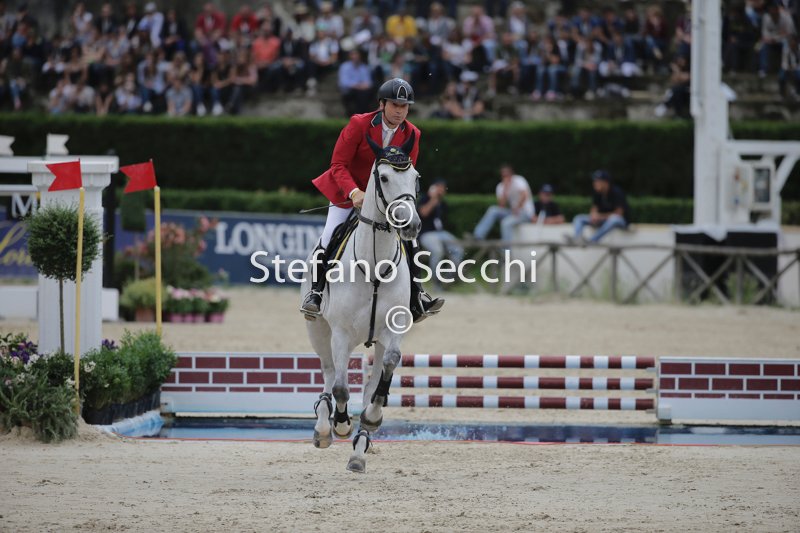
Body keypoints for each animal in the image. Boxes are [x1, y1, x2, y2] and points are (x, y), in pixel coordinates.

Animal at [301, 132, 422, 473]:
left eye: (415, 178)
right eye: (384, 177)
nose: (411, 226)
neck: (375, 266)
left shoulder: (393, 329)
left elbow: (389, 366)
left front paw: (371, 418)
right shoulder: (341, 334)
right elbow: (341, 387)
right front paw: (341, 424)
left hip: (373, 341)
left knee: (369, 382)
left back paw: (360, 448)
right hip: (319, 332)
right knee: (329, 374)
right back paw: (324, 428)